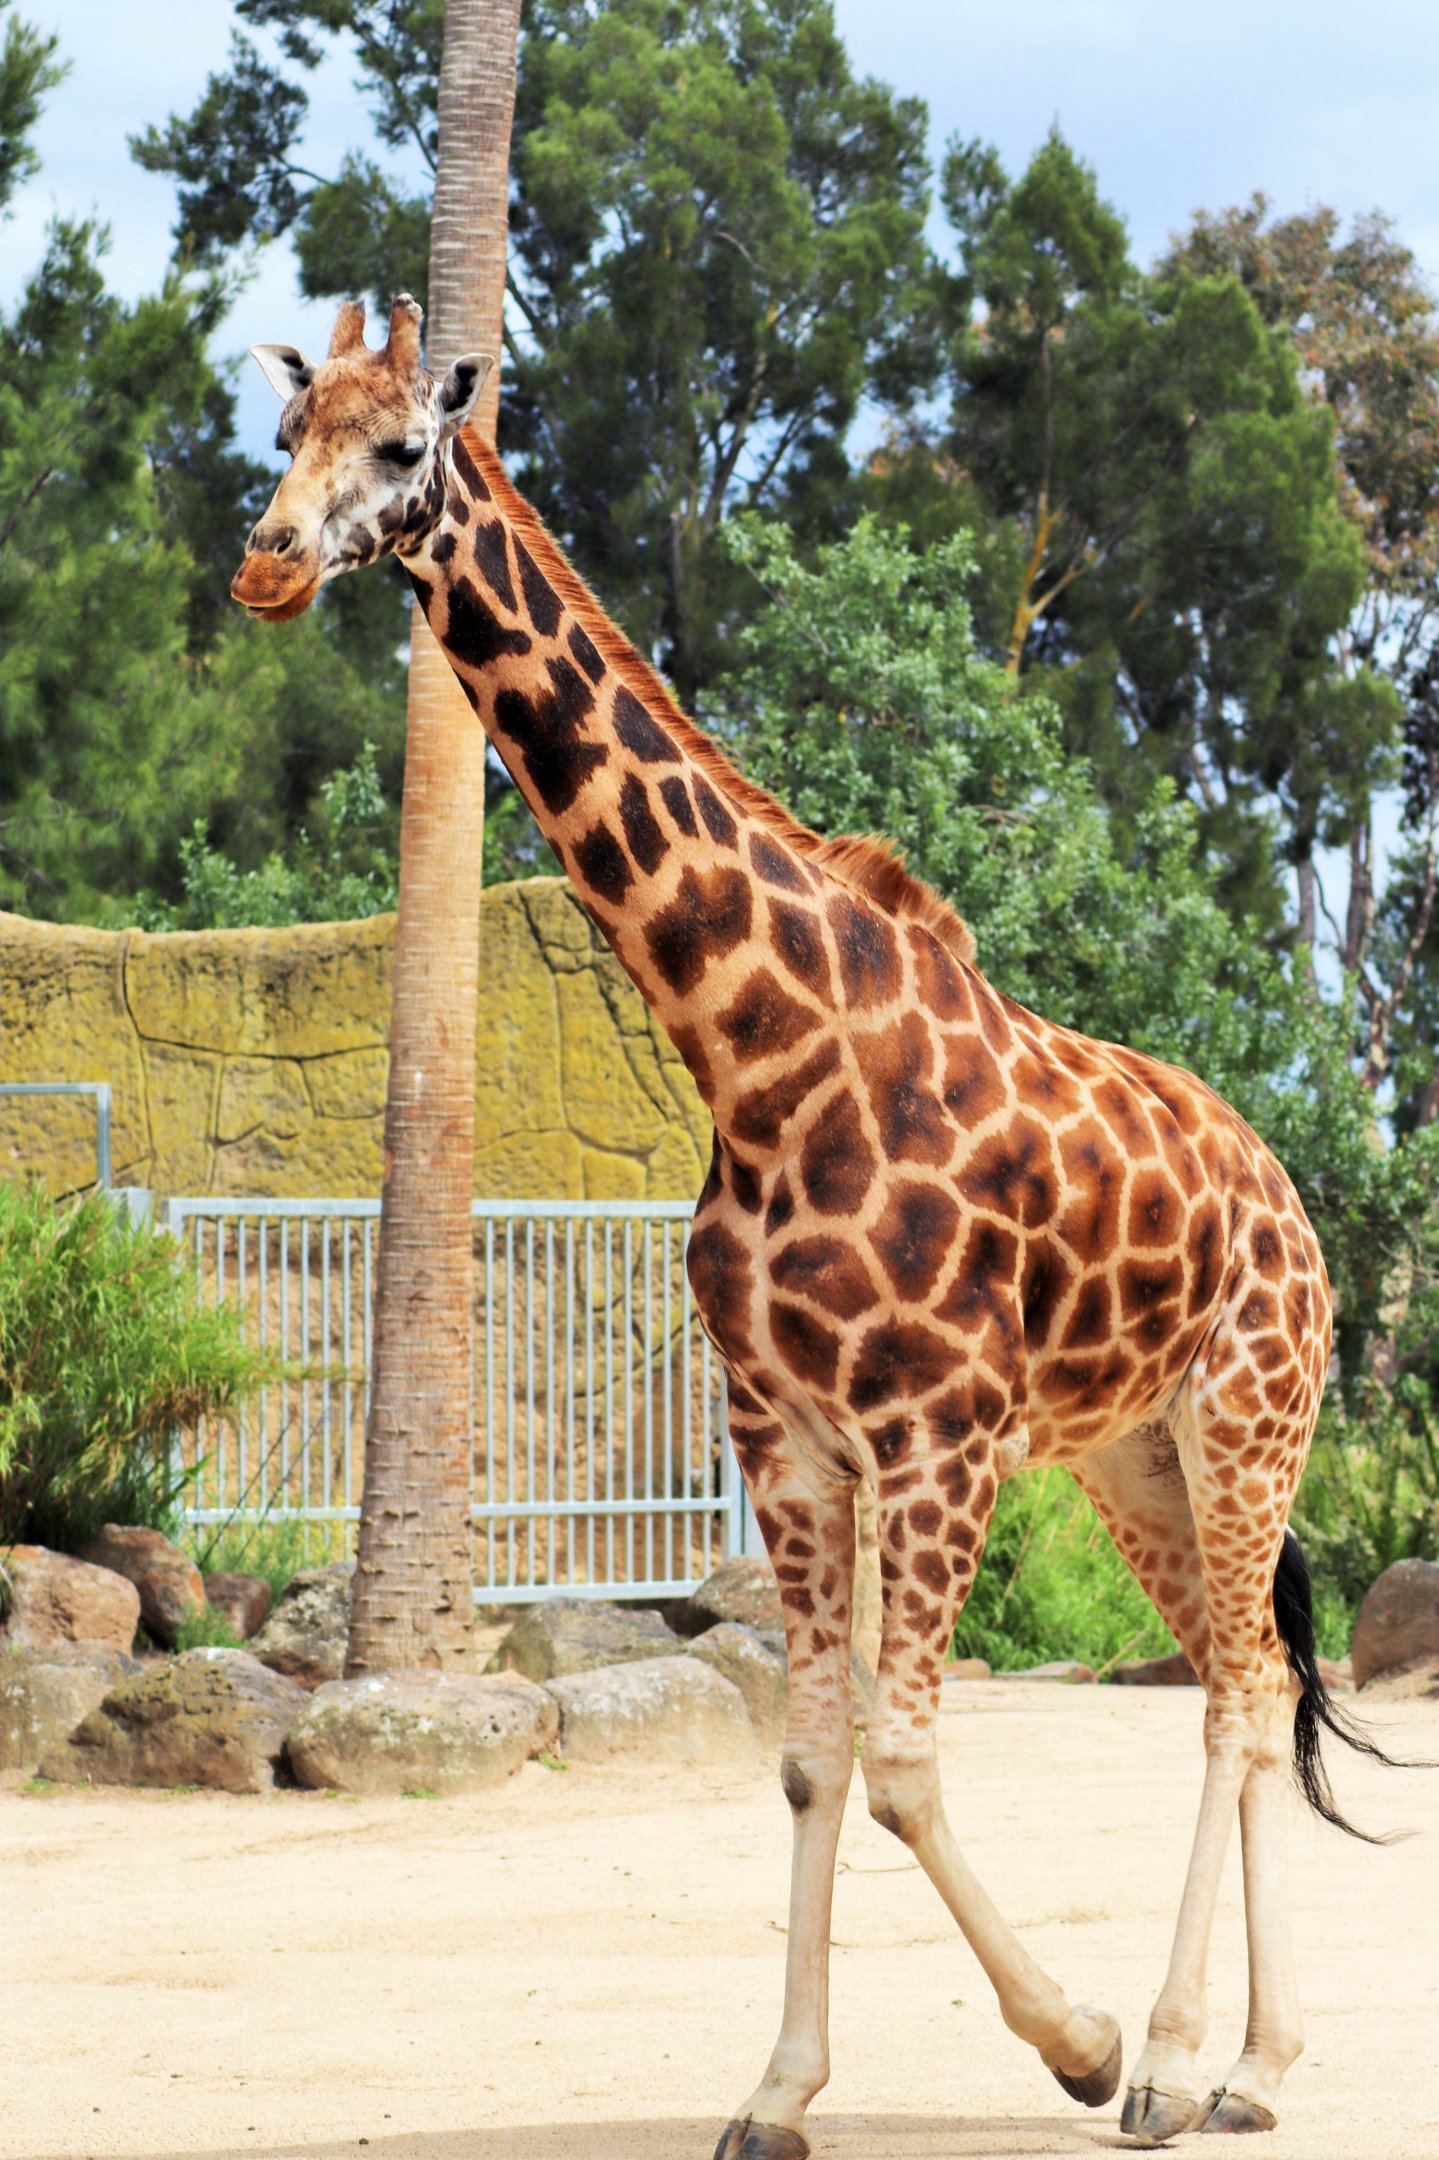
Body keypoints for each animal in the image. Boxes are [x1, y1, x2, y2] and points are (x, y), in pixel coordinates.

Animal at [234, 296, 1367, 2154]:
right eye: (283, 436)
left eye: (398, 445)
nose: (265, 562)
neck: (757, 1055)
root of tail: (1285, 1197)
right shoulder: (784, 1439)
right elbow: (812, 1755)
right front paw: (774, 2091)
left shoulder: (933, 1439)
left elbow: (902, 1762)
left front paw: (1077, 2044)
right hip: (1132, 1456)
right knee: (1249, 1683)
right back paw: (1257, 2067)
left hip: (1249, 1414)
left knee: (1233, 1699)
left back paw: (1177, 2060)